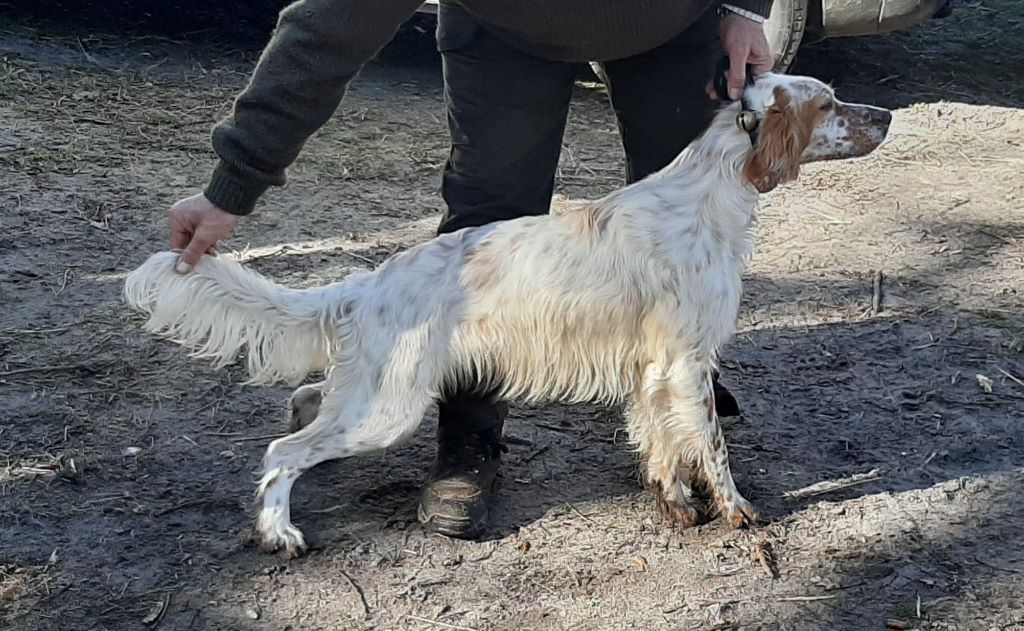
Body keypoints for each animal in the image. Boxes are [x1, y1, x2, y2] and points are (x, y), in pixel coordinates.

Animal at [121, 73, 888, 557]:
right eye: (830, 103)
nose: (888, 115)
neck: (709, 192)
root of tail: (371, 282)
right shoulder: (687, 361)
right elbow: (712, 448)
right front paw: (735, 510)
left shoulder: (655, 367)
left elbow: (664, 444)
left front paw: (676, 504)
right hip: (388, 407)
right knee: (283, 454)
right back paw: (279, 532)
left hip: (371, 393)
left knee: (307, 400)